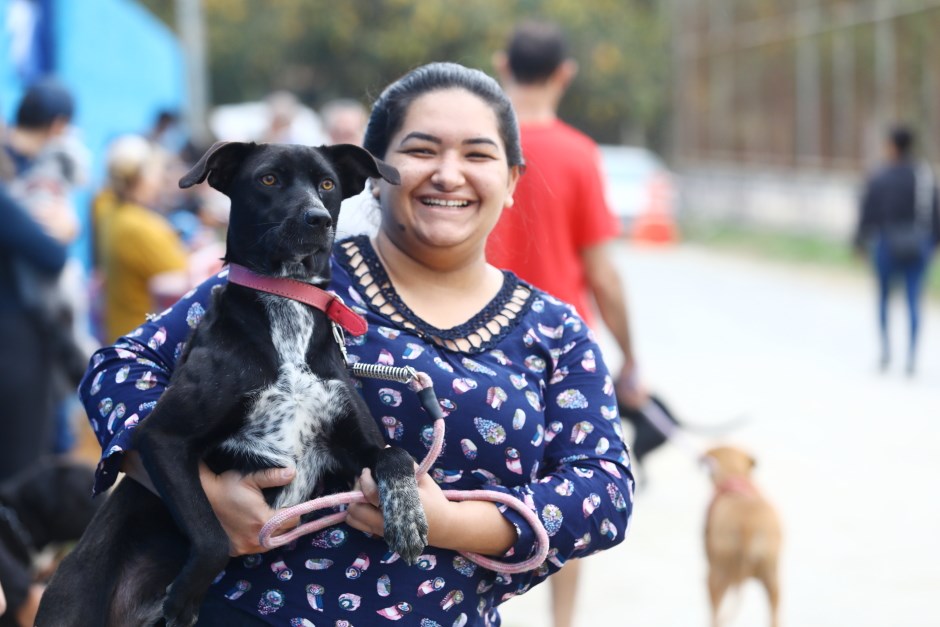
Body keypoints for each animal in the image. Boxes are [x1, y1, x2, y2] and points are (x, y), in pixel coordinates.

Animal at [36, 142, 426, 627]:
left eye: (327, 184)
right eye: (269, 179)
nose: (318, 219)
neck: (286, 302)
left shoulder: (354, 446)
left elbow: (396, 454)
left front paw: (407, 515)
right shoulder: (161, 437)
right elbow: (213, 537)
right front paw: (184, 597)